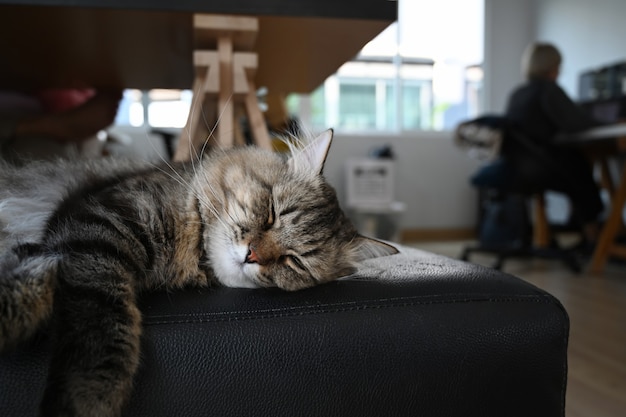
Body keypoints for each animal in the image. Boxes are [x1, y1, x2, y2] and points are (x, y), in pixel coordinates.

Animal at [0, 130, 398, 416]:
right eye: (271, 213)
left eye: (294, 261)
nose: (252, 255)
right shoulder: (96, 226)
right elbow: (101, 320)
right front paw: (85, 400)